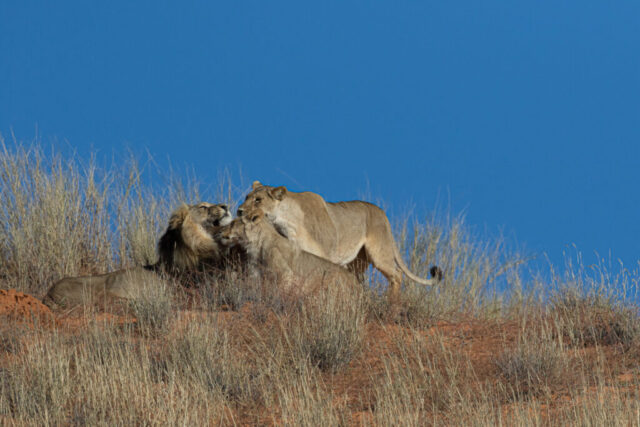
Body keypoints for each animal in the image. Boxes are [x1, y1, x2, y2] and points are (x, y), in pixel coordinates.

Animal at [218, 209, 360, 296]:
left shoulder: (285, 273)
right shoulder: (256, 273)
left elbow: (281, 290)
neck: (255, 245)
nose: (220, 231)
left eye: (233, 223)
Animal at [237, 181, 442, 300]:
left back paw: (392, 305)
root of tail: (382, 214)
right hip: (357, 263)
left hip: (379, 252)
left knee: (397, 275)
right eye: (246, 197)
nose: (239, 211)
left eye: (257, 200)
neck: (287, 220)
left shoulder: (324, 255)